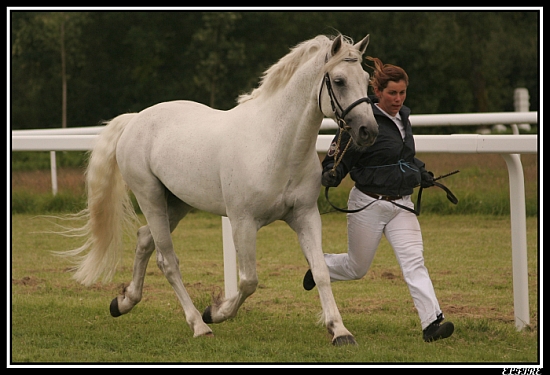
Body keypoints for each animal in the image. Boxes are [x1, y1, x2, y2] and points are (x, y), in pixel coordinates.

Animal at [59, 34, 380, 346]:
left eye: (366, 79)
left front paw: (339, 331)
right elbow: (249, 280)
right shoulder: (242, 222)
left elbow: (321, 271)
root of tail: (134, 119)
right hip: (150, 198)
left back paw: (124, 302)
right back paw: (199, 325)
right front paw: (215, 312)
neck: (275, 144)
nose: (369, 131)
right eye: (339, 80)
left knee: (144, 241)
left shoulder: (305, 216)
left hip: (177, 203)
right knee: (167, 260)